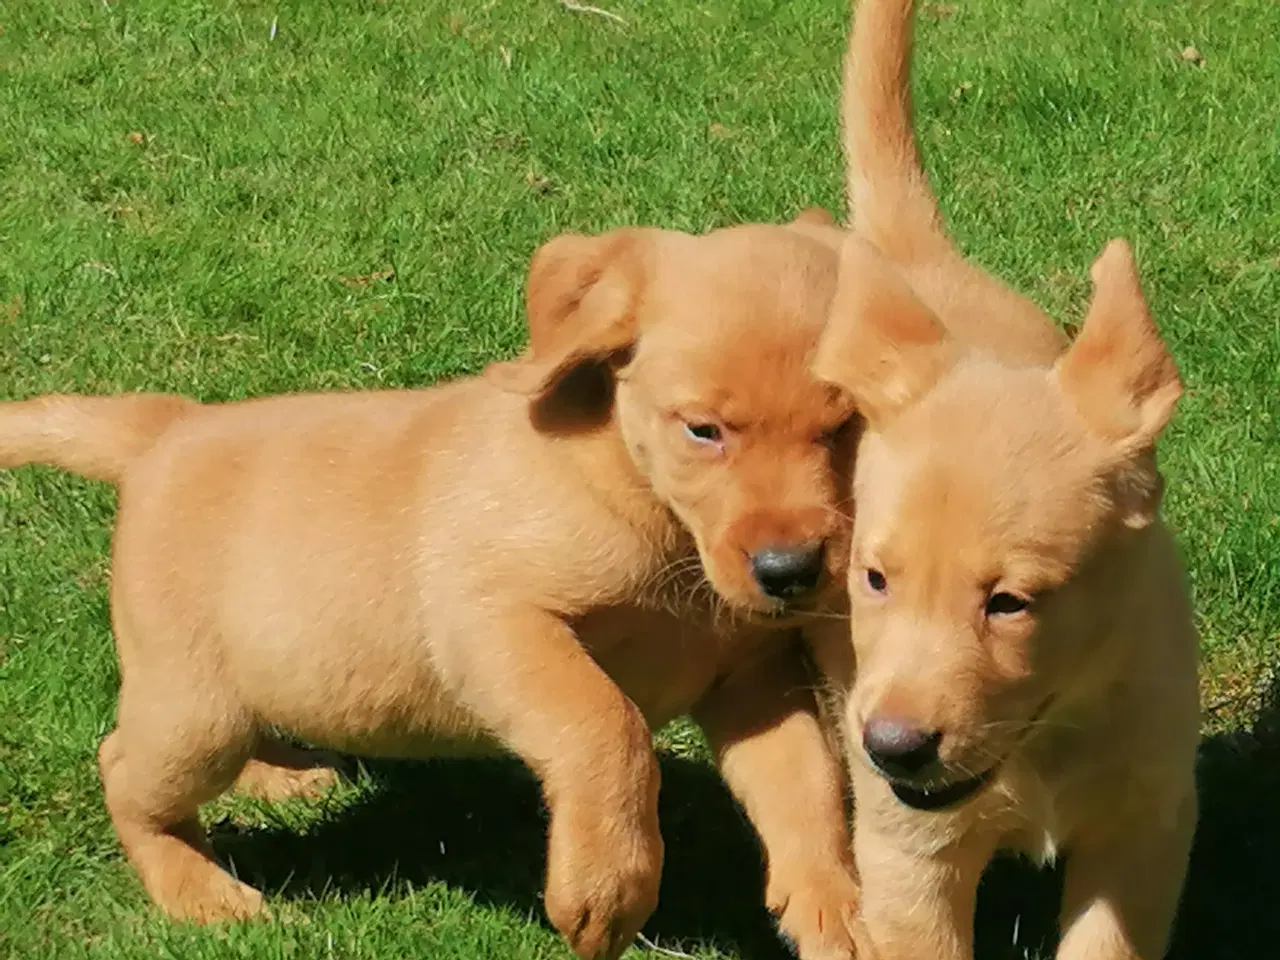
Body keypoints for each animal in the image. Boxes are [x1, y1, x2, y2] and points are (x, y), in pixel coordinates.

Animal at [0, 217, 865, 960]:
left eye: (848, 426)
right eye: (703, 431)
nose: (789, 571)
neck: (656, 519)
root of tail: (165, 430)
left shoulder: (752, 677)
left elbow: (809, 788)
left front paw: (836, 910)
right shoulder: (492, 619)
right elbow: (606, 726)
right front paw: (606, 890)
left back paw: (277, 774)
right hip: (189, 706)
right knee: (124, 770)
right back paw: (198, 890)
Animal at [808, 1, 1198, 960]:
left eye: (1011, 603)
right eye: (873, 580)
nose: (894, 747)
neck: (1046, 740)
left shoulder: (1147, 828)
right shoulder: (909, 855)